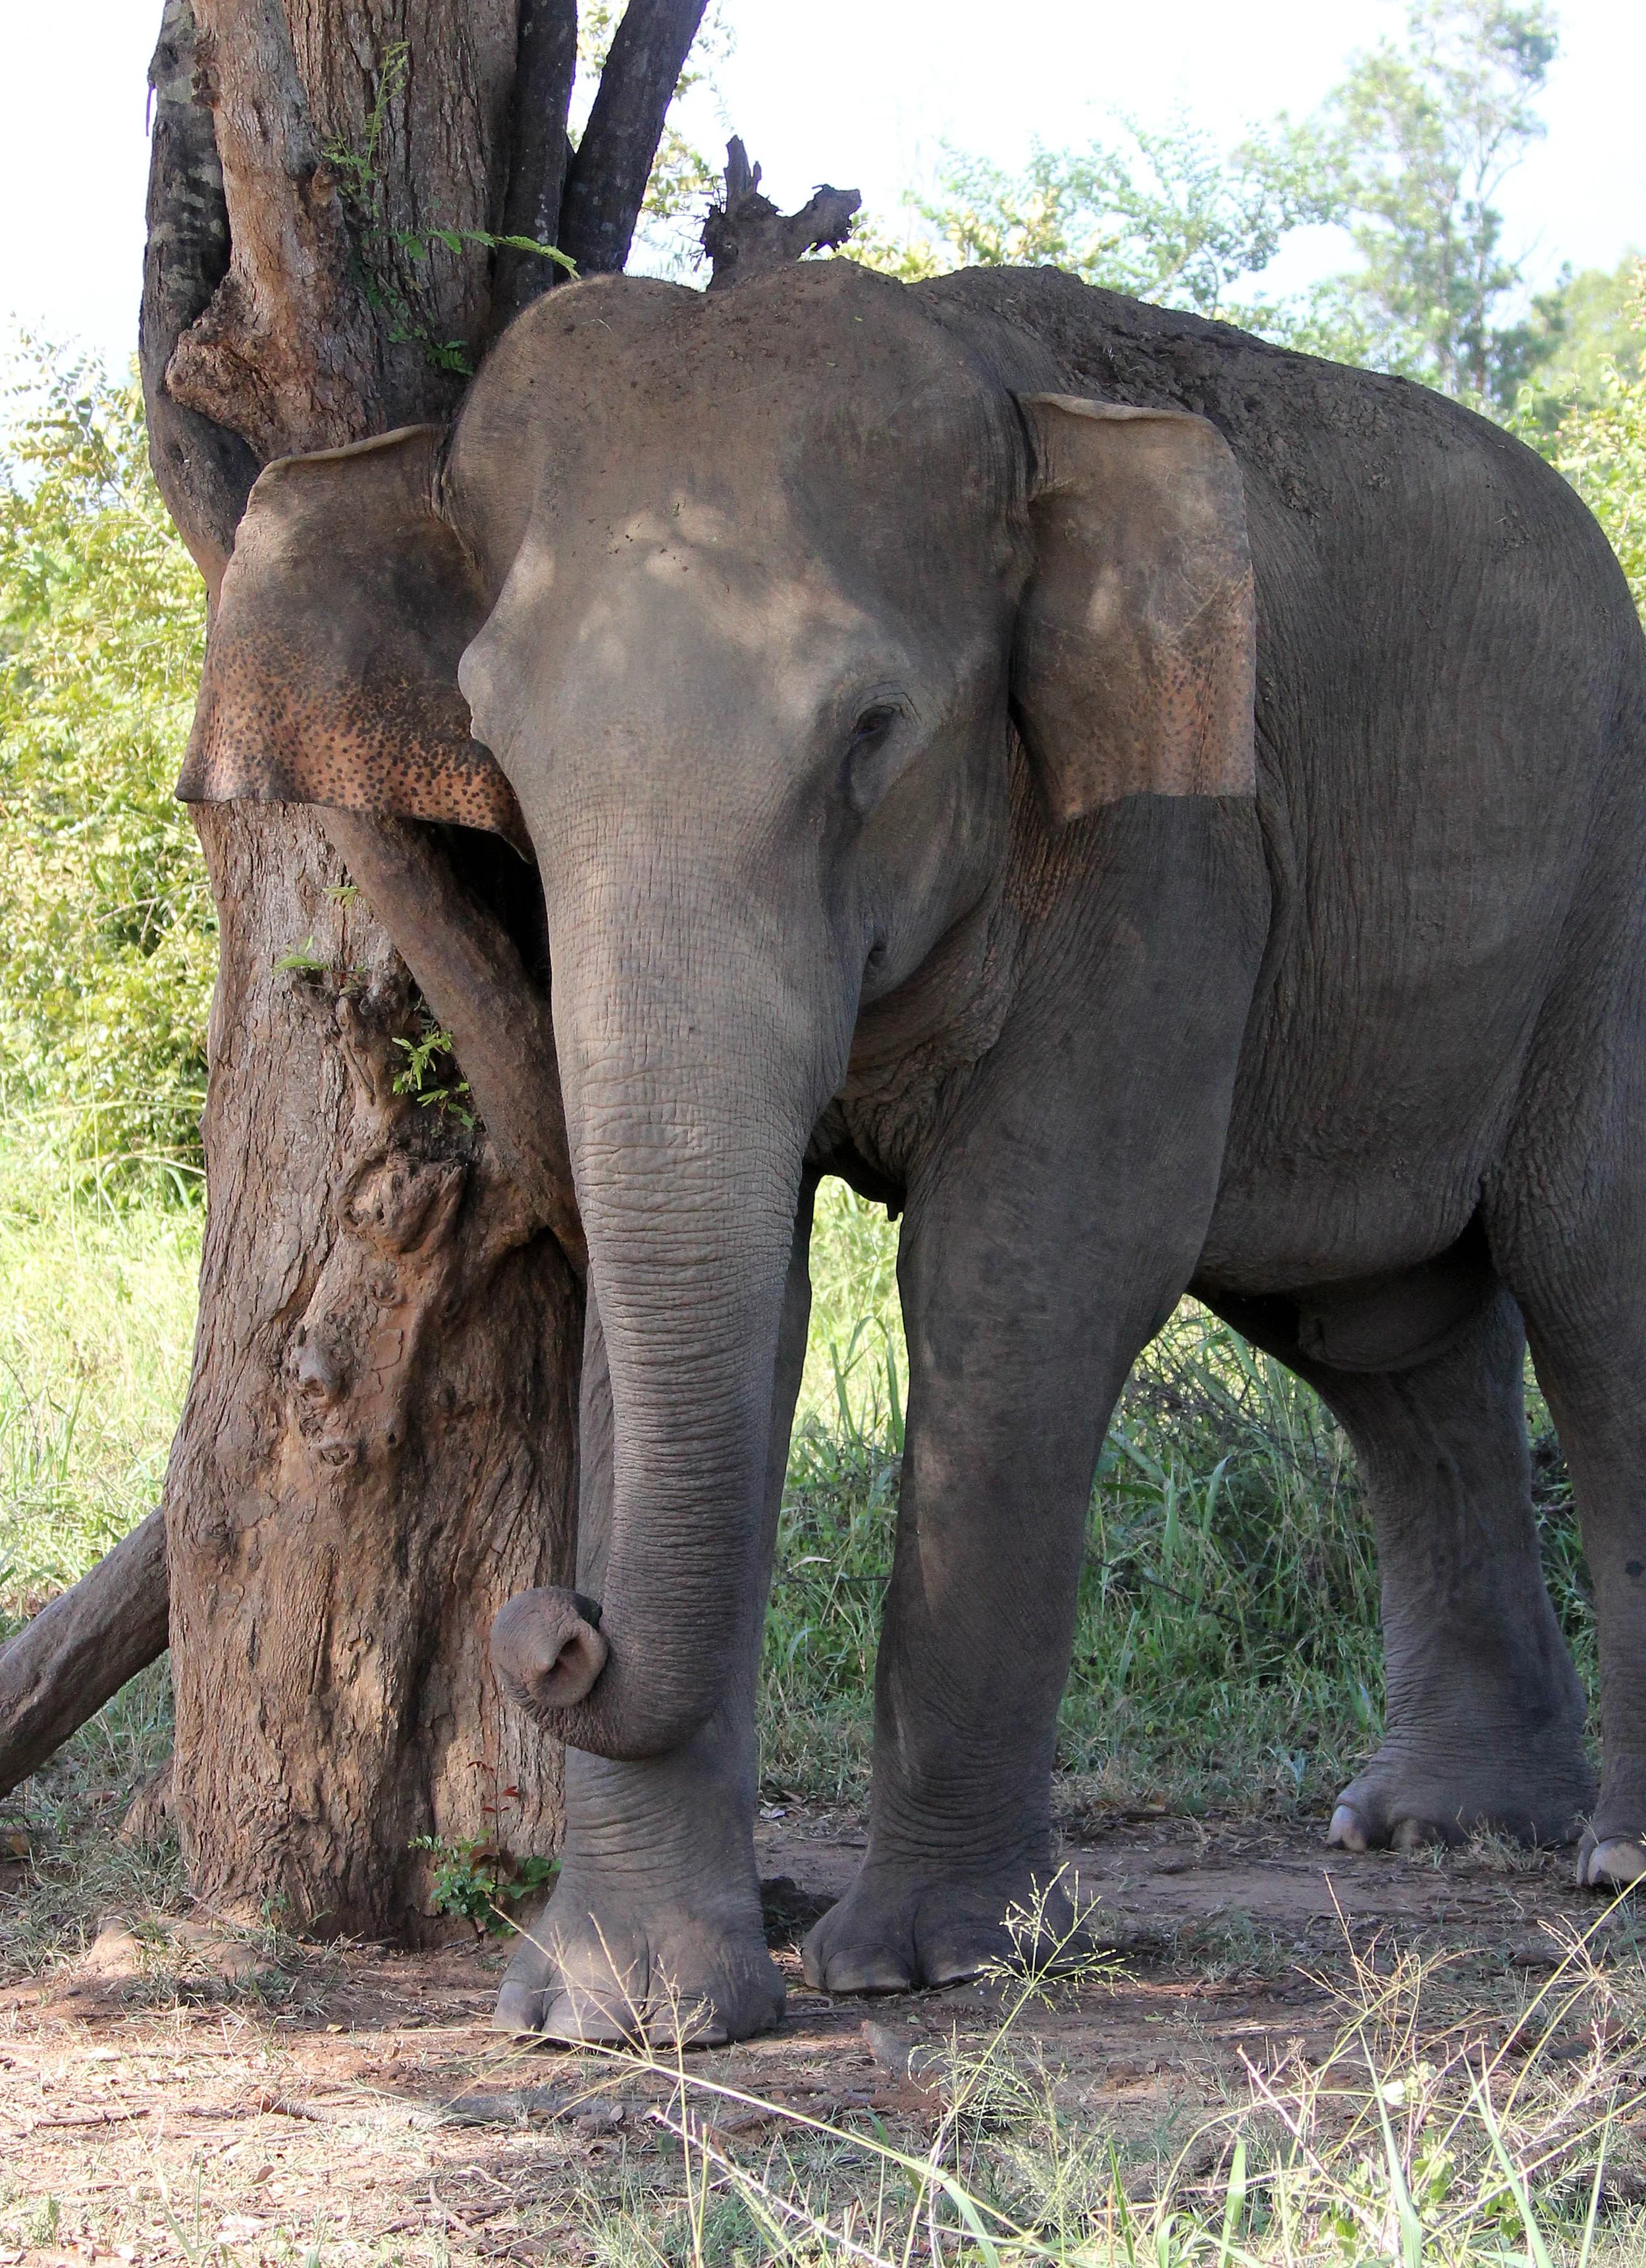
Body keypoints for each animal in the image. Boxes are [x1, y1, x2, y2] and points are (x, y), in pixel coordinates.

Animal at [181, 256, 1646, 2047]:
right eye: (493, 750)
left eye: (872, 732)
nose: (554, 1627)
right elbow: (705, 1286)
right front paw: (618, 2016)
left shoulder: (1166, 835)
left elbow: (1026, 1271)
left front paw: (931, 1962)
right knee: (1382, 1329)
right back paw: (1434, 1827)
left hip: (1610, 874)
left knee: (1587, 1269)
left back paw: (1606, 1859)